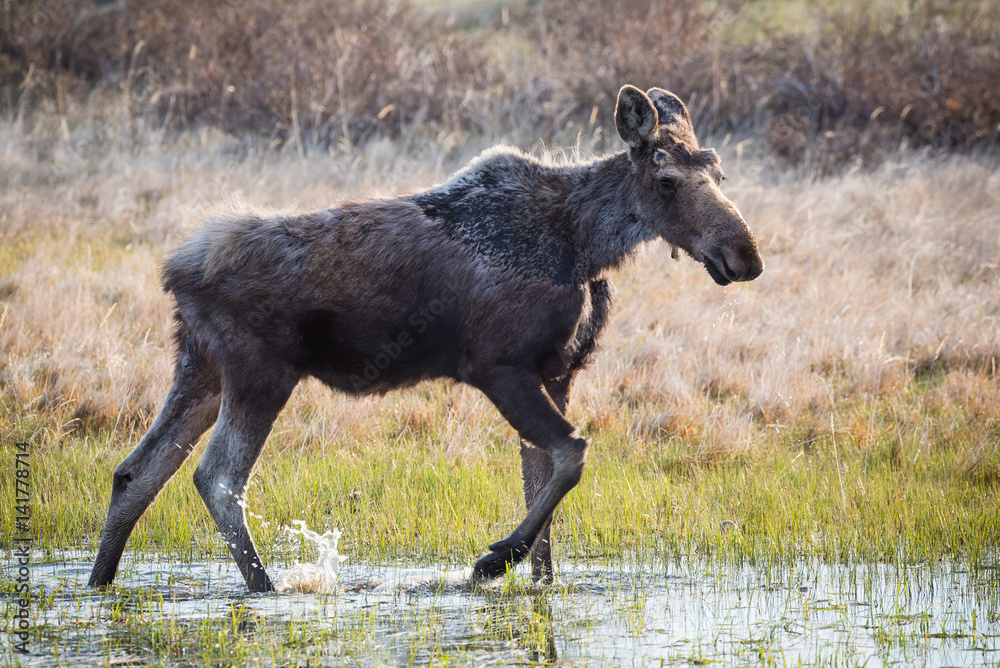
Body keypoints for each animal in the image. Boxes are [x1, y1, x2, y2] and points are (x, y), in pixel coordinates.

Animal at [88, 85, 763, 592]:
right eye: (667, 181)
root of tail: (176, 271)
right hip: (260, 372)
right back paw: (265, 588)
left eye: (719, 171)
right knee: (217, 477)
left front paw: (535, 579)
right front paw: (493, 559)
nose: (745, 255)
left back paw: (101, 583)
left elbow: (543, 486)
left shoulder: (556, 373)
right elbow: (571, 456)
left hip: (201, 368)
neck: (584, 246)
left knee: (136, 471)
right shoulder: (499, 366)